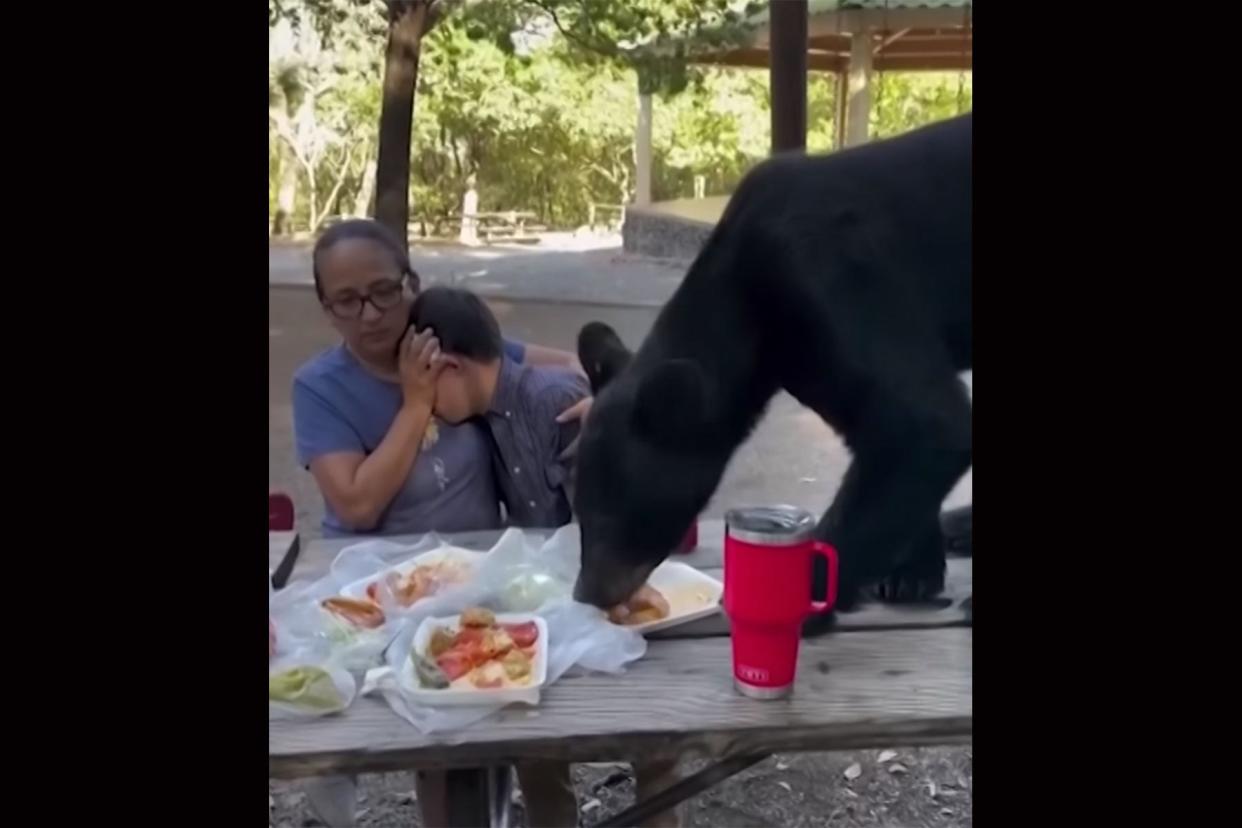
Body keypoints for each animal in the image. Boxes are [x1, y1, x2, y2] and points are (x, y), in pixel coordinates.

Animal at [568, 108, 968, 628]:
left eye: (615, 515)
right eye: (578, 506)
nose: (588, 592)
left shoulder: (831, 275)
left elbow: (926, 421)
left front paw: (809, 599)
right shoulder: (807, 357)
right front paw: (911, 572)